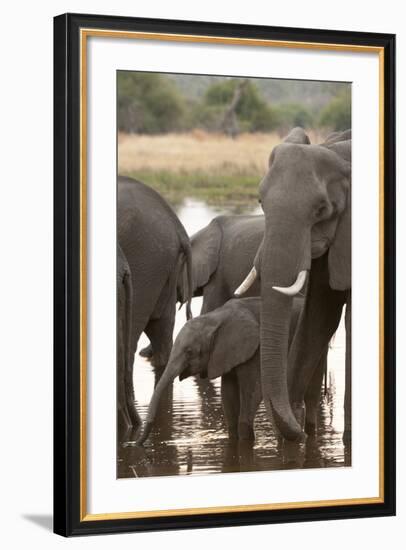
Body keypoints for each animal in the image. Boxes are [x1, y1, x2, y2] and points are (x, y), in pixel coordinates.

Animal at [136, 296, 302, 446]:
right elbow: (228, 394)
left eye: (189, 352)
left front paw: (245, 440)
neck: (216, 317)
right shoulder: (225, 354)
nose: (136, 443)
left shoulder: (256, 350)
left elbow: (252, 390)